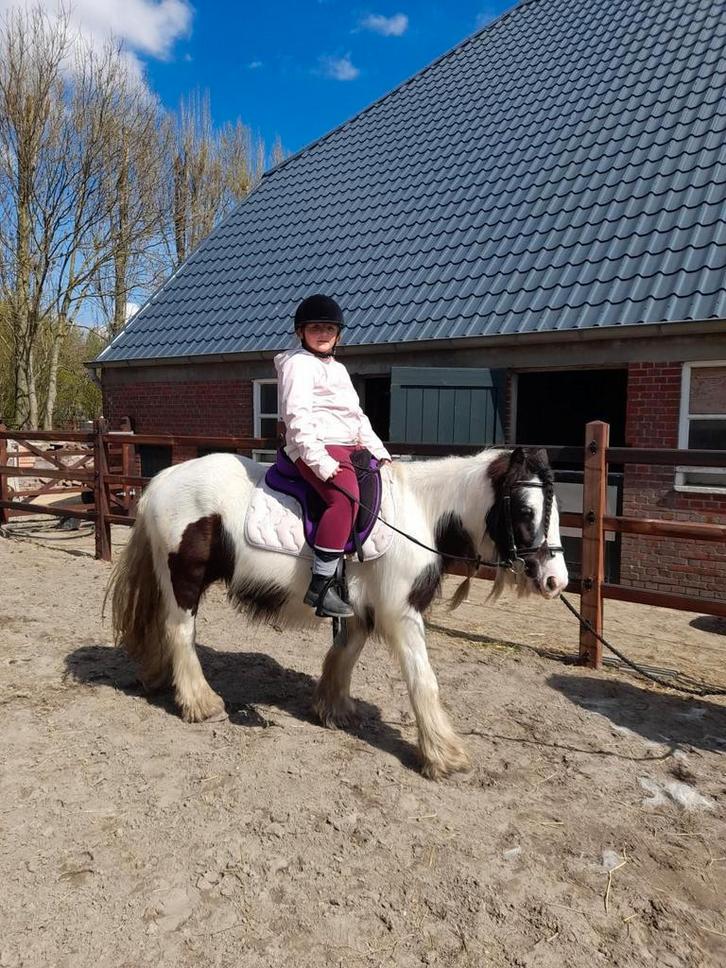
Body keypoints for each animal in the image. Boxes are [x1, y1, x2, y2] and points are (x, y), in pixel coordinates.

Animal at [107, 445, 568, 779]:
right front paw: (445, 756)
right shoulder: (401, 614)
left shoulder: (360, 609)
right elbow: (423, 680)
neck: (420, 512)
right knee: (179, 633)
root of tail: (161, 481)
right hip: (184, 582)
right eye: (525, 510)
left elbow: (344, 655)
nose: (556, 581)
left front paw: (334, 710)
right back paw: (201, 703)